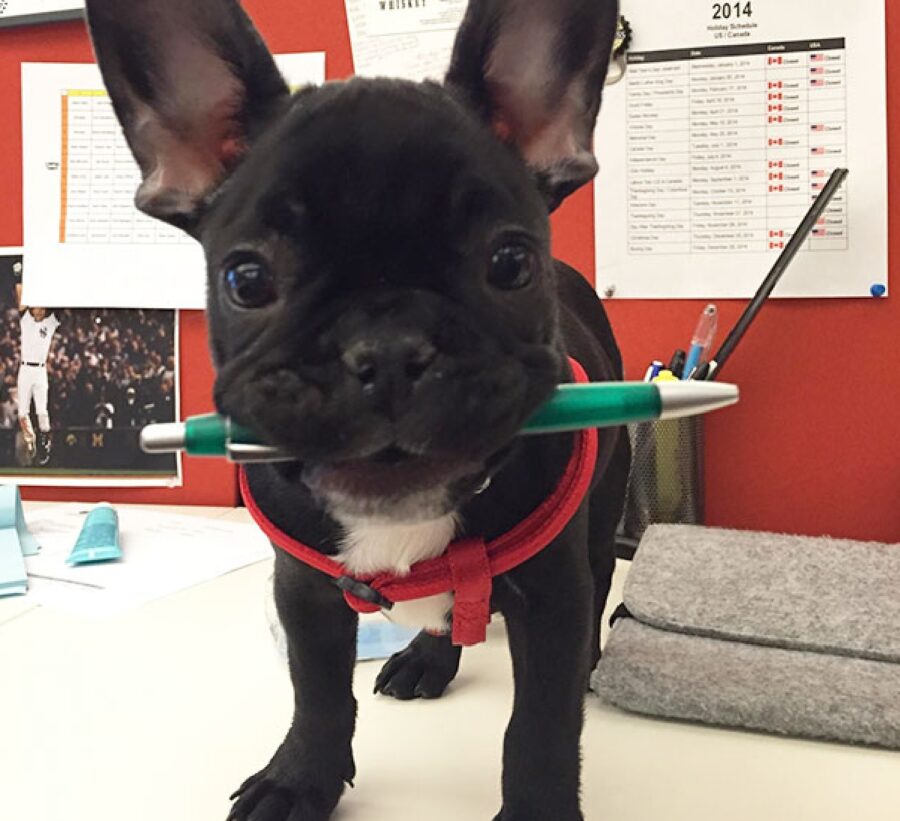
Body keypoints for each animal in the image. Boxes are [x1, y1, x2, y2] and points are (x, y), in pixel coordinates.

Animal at [88, 0, 628, 816]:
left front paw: (537, 807)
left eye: (510, 264)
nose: (389, 350)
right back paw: (428, 657)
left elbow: (539, 727)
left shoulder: (551, 595)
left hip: (600, 519)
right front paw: (298, 779)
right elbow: (316, 694)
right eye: (246, 279)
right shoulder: (304, 590)